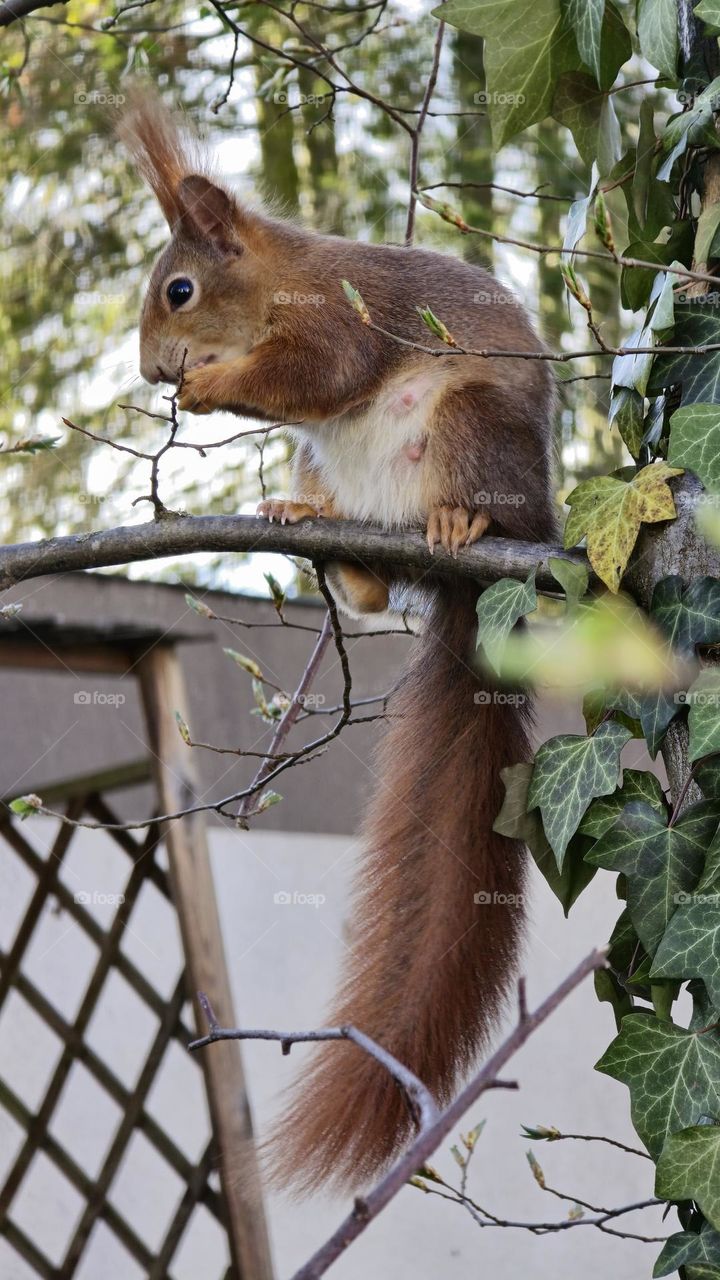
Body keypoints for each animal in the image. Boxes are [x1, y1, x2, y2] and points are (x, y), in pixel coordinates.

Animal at [119, 90, 558, 1195]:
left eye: (180, 290)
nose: (150, 371)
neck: (281, 277)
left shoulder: (338, 318)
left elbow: (323, 372)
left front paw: (211, 385)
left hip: (471, 429)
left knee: (473, 498)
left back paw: (461, 524)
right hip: (323, 467)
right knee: (362, 575)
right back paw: (317, 534)